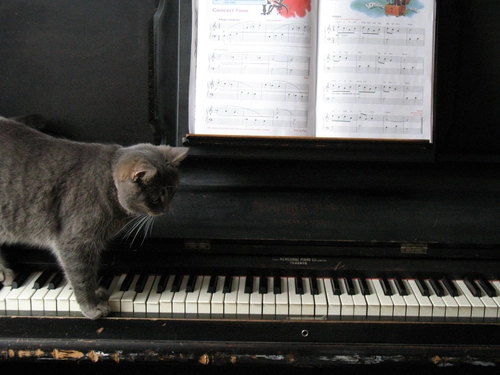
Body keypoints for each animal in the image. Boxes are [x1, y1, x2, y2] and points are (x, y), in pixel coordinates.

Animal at [0, 115, 188, 320]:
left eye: (174, 191)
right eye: (155, 198)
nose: (166, 210)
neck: (109, 187)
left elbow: (90, 272)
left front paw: (97, 291)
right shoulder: (75, 242)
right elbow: (81, 276)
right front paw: (92, 306)